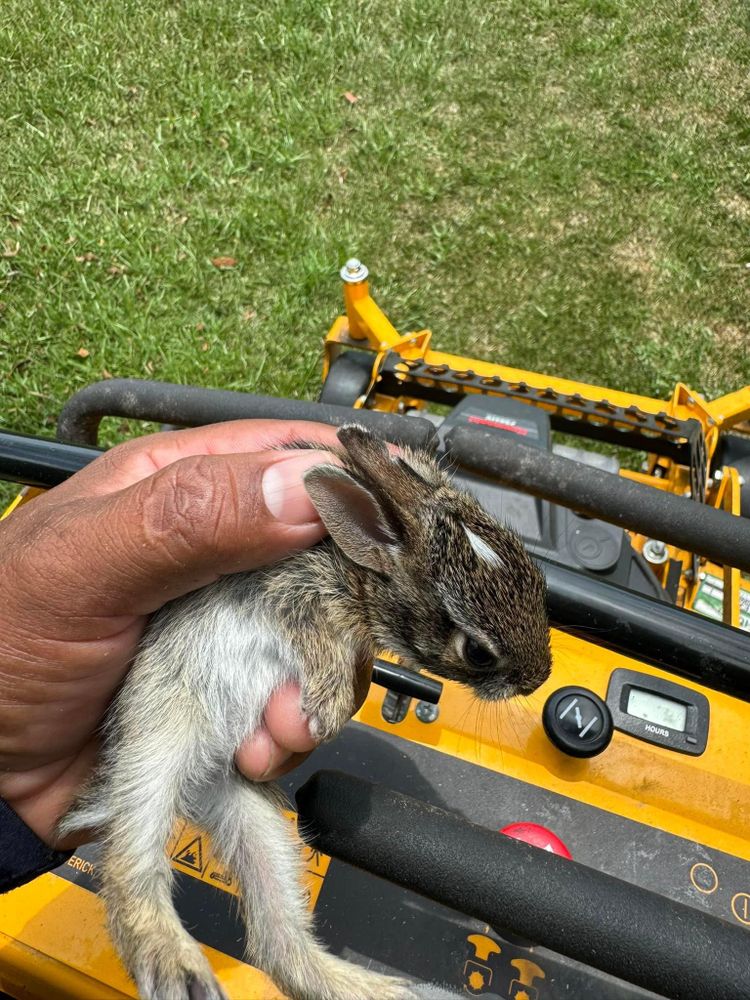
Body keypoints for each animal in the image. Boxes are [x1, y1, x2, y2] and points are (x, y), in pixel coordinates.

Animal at [58, 424, 552, 1000]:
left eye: (537, 578)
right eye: (477, 652)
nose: (539, 677)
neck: (362, 571)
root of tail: (200, 781)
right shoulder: (293, 594)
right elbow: (318, 642)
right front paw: (326, 707)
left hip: (258, 819)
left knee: (281, 947)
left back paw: (398, 991)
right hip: (155, 735)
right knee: (129, 866)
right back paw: (182, 970)